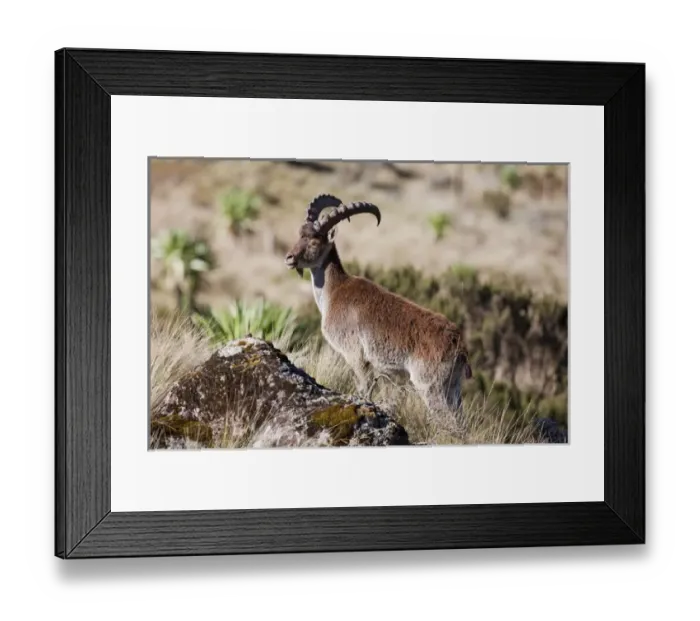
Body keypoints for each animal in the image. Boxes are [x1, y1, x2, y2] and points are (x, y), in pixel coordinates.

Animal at [285, 194, 473, 424]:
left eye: (314, 240)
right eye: (299, 234)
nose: (289, 258)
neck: (334, 291)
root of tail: (458, 345)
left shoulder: (355, 355)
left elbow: (364, 389)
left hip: (430, 387)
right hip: (453, 390)